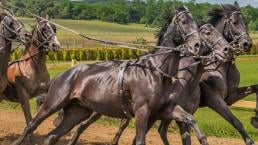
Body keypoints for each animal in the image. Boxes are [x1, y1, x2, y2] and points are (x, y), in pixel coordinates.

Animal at [12, 5, 206, 145]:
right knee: (31, 125)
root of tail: (62, 75)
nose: (197, 45)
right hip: (52, 104)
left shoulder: (165, 110)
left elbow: (190, 118)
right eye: (183, 21)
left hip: (77, 112)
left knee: (51, 137)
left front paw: (202, 138)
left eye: (196, 22)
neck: (156, 71)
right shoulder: (142, 111)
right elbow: (139, 140)